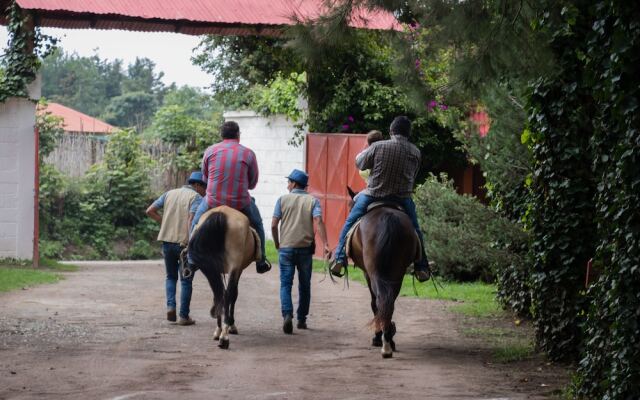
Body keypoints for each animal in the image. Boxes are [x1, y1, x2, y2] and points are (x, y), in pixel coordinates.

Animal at [184, 205, 262, 348]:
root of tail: (222, 213)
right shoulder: (238, 269)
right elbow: (234, 295)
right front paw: (231, 325)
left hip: (209, 268)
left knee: (218, 294)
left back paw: (219, 331)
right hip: (233, 266)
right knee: (228, 294)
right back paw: (224, 336)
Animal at [344, 190, 420, 356]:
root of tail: (388, 217)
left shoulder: (367, 273)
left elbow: (373, 303)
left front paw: (377, 338)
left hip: (375, 273)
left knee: (379, 301)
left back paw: (384, 342)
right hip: (397, 274)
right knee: (389, 301)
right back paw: (389, 340)